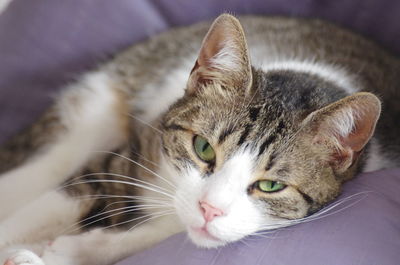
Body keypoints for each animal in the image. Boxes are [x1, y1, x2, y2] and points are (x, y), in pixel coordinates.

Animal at [0, 13, 400, 264]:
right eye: (204, 148)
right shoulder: (134, 148)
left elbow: (167, 231)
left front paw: (69, 250)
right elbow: (61, 199)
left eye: (271, 185)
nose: (210, 208)